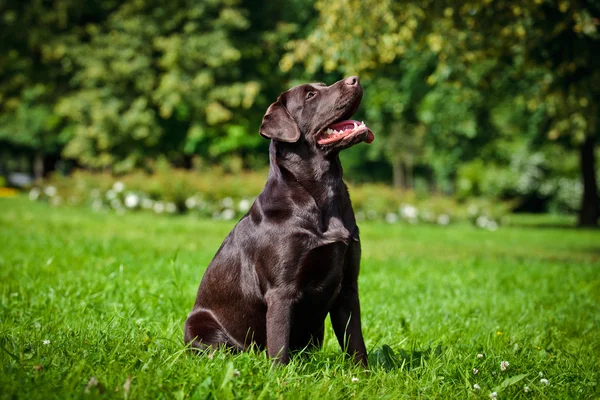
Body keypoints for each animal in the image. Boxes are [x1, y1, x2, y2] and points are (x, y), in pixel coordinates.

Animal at [185, 75, 376, 366]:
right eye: (309, 95)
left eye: (323, 86)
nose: (354, 79)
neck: (321, 193)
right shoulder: (281, 291)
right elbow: (278, 345)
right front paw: (281, 375)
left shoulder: (348, 287)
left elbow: (355, 342)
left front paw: (362, 374)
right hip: (198, 323)